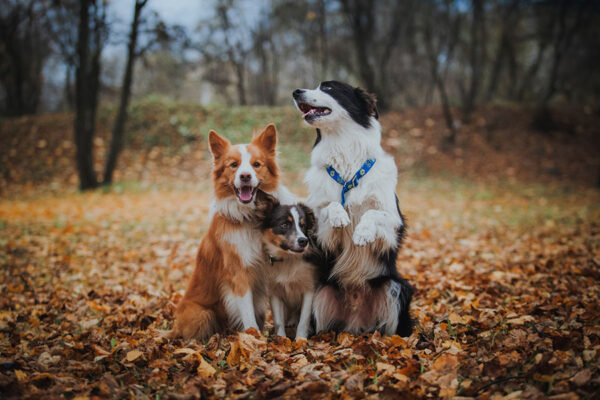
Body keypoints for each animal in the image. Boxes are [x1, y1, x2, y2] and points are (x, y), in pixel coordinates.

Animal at [290, 79, 412, 336]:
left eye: (328, 88)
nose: (296, 92)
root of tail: (355, 323)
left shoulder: (392, 227)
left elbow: (373, 213)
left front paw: (362, 233)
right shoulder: (324, 234)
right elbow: (330, 206)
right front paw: (339, 216)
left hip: (397, 286)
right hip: (320, 290)